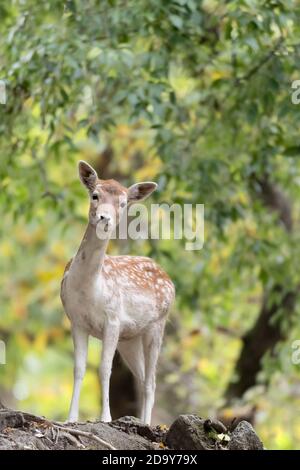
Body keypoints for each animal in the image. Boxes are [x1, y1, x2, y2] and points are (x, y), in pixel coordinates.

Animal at [60, 160, 175, 424]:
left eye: (123, 203)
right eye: (95, 195)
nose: (104, 218)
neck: (88, 289)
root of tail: (168, 278)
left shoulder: (112, 319)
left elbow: (104, 369)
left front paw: (105, 418)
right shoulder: (76, 320)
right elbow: (79, 368)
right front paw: (70, 418)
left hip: (157, 325)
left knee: (151, 382)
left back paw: (146, 423)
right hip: (130, 338)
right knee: (142, 378)